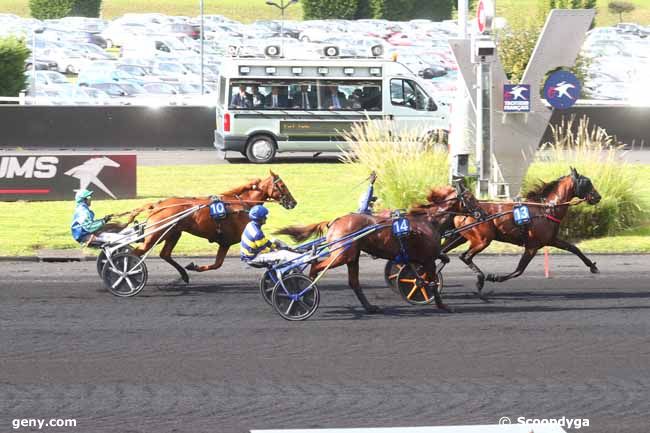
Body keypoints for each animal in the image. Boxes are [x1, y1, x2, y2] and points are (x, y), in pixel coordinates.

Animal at [124, 170, 296, 286]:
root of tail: (158, 205)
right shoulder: (235, 240)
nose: (294, 202)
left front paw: (194, 266)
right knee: (136, 253)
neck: (242, 204)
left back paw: (184, 275)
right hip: (156, 235)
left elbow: (217, 264)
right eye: (282, 185)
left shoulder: (225, 242)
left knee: (165, 254)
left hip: (173, 233)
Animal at [276, 184, 458, 312]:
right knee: (316, 266)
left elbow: (434, 264)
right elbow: (429, 280)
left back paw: (369, 307)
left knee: (354, 282)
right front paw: (442, 305)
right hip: (341, 255)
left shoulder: (417, 257)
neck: (427, 222)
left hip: (352, 256)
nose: (472, 213)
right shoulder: (427, 258)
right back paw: (304, 291)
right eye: (466, 199)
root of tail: (335, 222)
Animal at [442, 166, 600, 294]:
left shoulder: (551, 240)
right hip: (483, 240)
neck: (546, 208)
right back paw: (480, 280)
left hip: (460, 237)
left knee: (444, 252)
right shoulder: (532, 246)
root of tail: (463, 210)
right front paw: (495, 277)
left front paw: (592, 266)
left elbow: (573, 248)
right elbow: (519, 270)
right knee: (465, 256)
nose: (598, 196)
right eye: (587, 182)